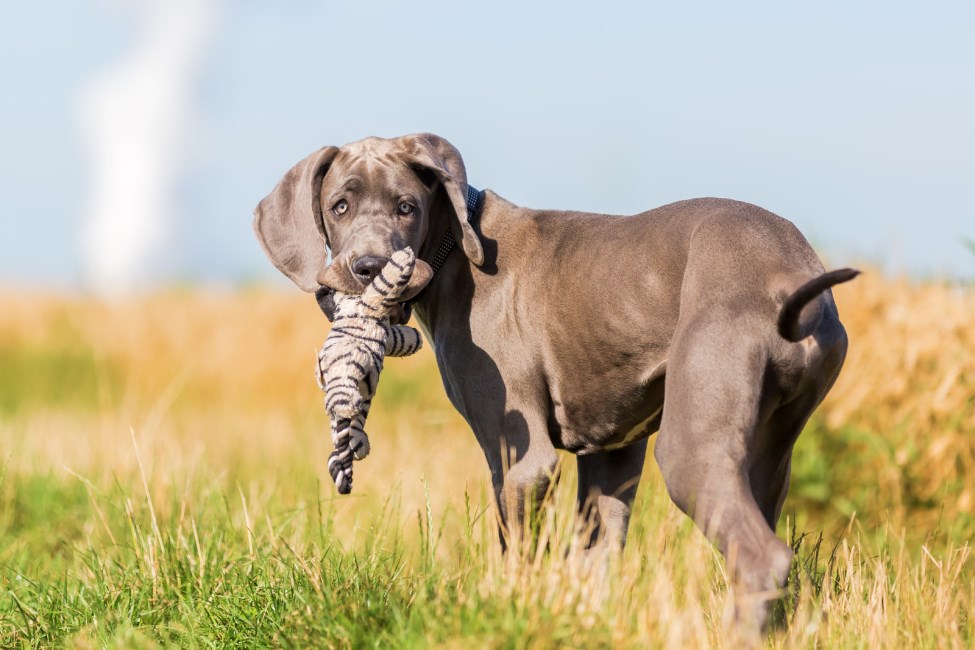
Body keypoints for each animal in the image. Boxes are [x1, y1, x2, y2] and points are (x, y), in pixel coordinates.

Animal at [255, 132, 856, 624]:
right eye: (339, 205)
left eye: (406, 207)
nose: (371, 268)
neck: (455, 254)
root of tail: (791, 272)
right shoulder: (612, 454)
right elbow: (595, 557)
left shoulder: (523, 460)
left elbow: (517, 555)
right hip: (769, 451)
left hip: (692, 444)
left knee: (761, 557)